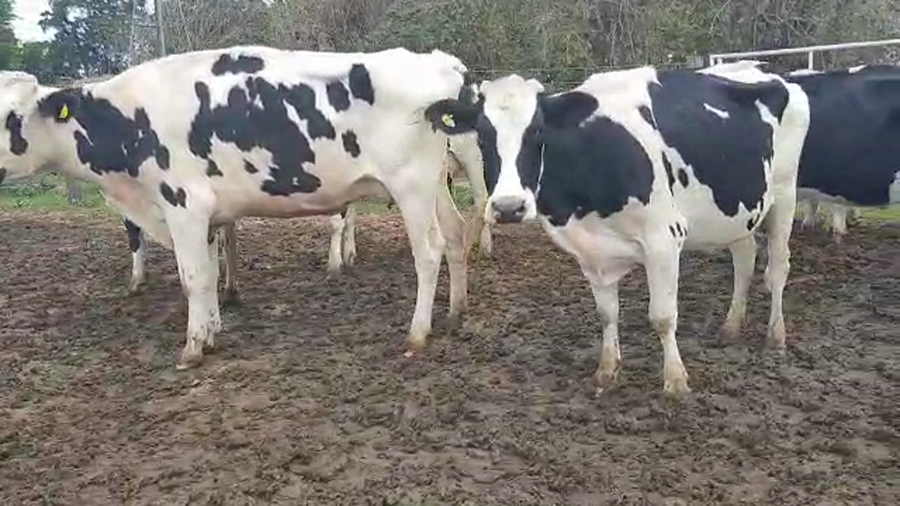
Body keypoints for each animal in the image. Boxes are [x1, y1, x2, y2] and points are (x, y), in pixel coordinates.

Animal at [0, 45, 477, 369]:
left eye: (11, 116)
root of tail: (437, 61)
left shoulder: (184, 206)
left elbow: (192, 279)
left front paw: (192, 347)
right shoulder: (207, 216)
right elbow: (210, 274)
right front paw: (211, 332)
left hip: (410, 186)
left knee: (429, 251)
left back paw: (418, 333)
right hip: (435, 184)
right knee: (456, 234)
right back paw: (455, 313)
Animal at [423, 61, 810, 395]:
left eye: (537, 131)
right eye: (481, 135)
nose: (508, 207)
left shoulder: (663, 238)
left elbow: (663, 317)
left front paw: (675, 381)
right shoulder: (589, 252)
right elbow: (607, 313)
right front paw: (607, 370)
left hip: (784, 195)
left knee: (778, 268)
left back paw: (776, 336)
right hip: (738, 211)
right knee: (744, 260)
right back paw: (731, 327)